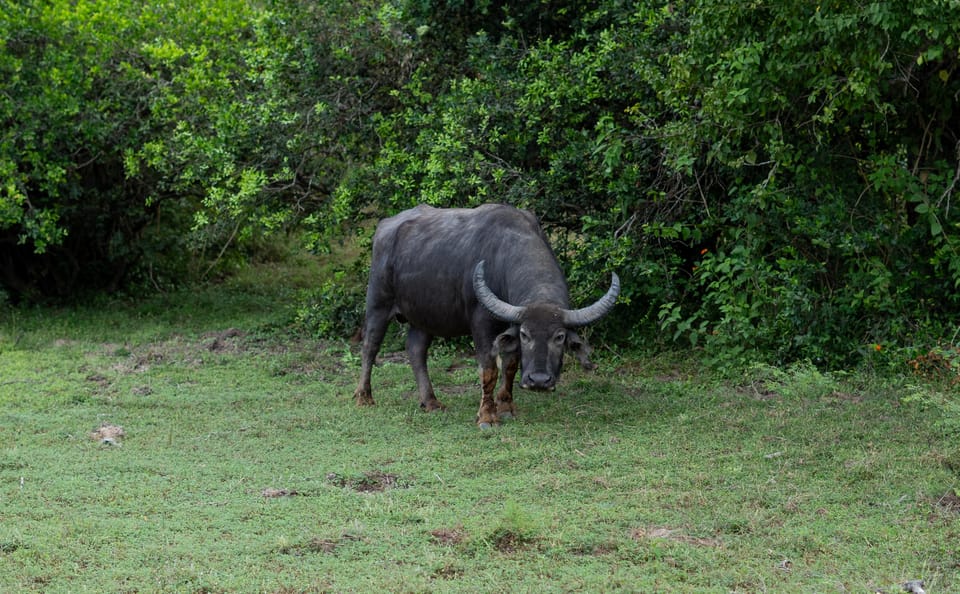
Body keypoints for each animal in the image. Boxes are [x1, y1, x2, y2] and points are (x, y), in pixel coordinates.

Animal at [354, 204, 624, 426]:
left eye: (559, 337)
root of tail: (385, 226)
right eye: (525, 334)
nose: (539, 381)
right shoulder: (481, 325)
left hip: (424, 316)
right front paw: (487, 416)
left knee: (416, 350)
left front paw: (506, 407)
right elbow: (489, 370)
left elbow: (511, 366)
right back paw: (364, 397)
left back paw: (430, 402)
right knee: (370, 346)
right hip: (378, 303)